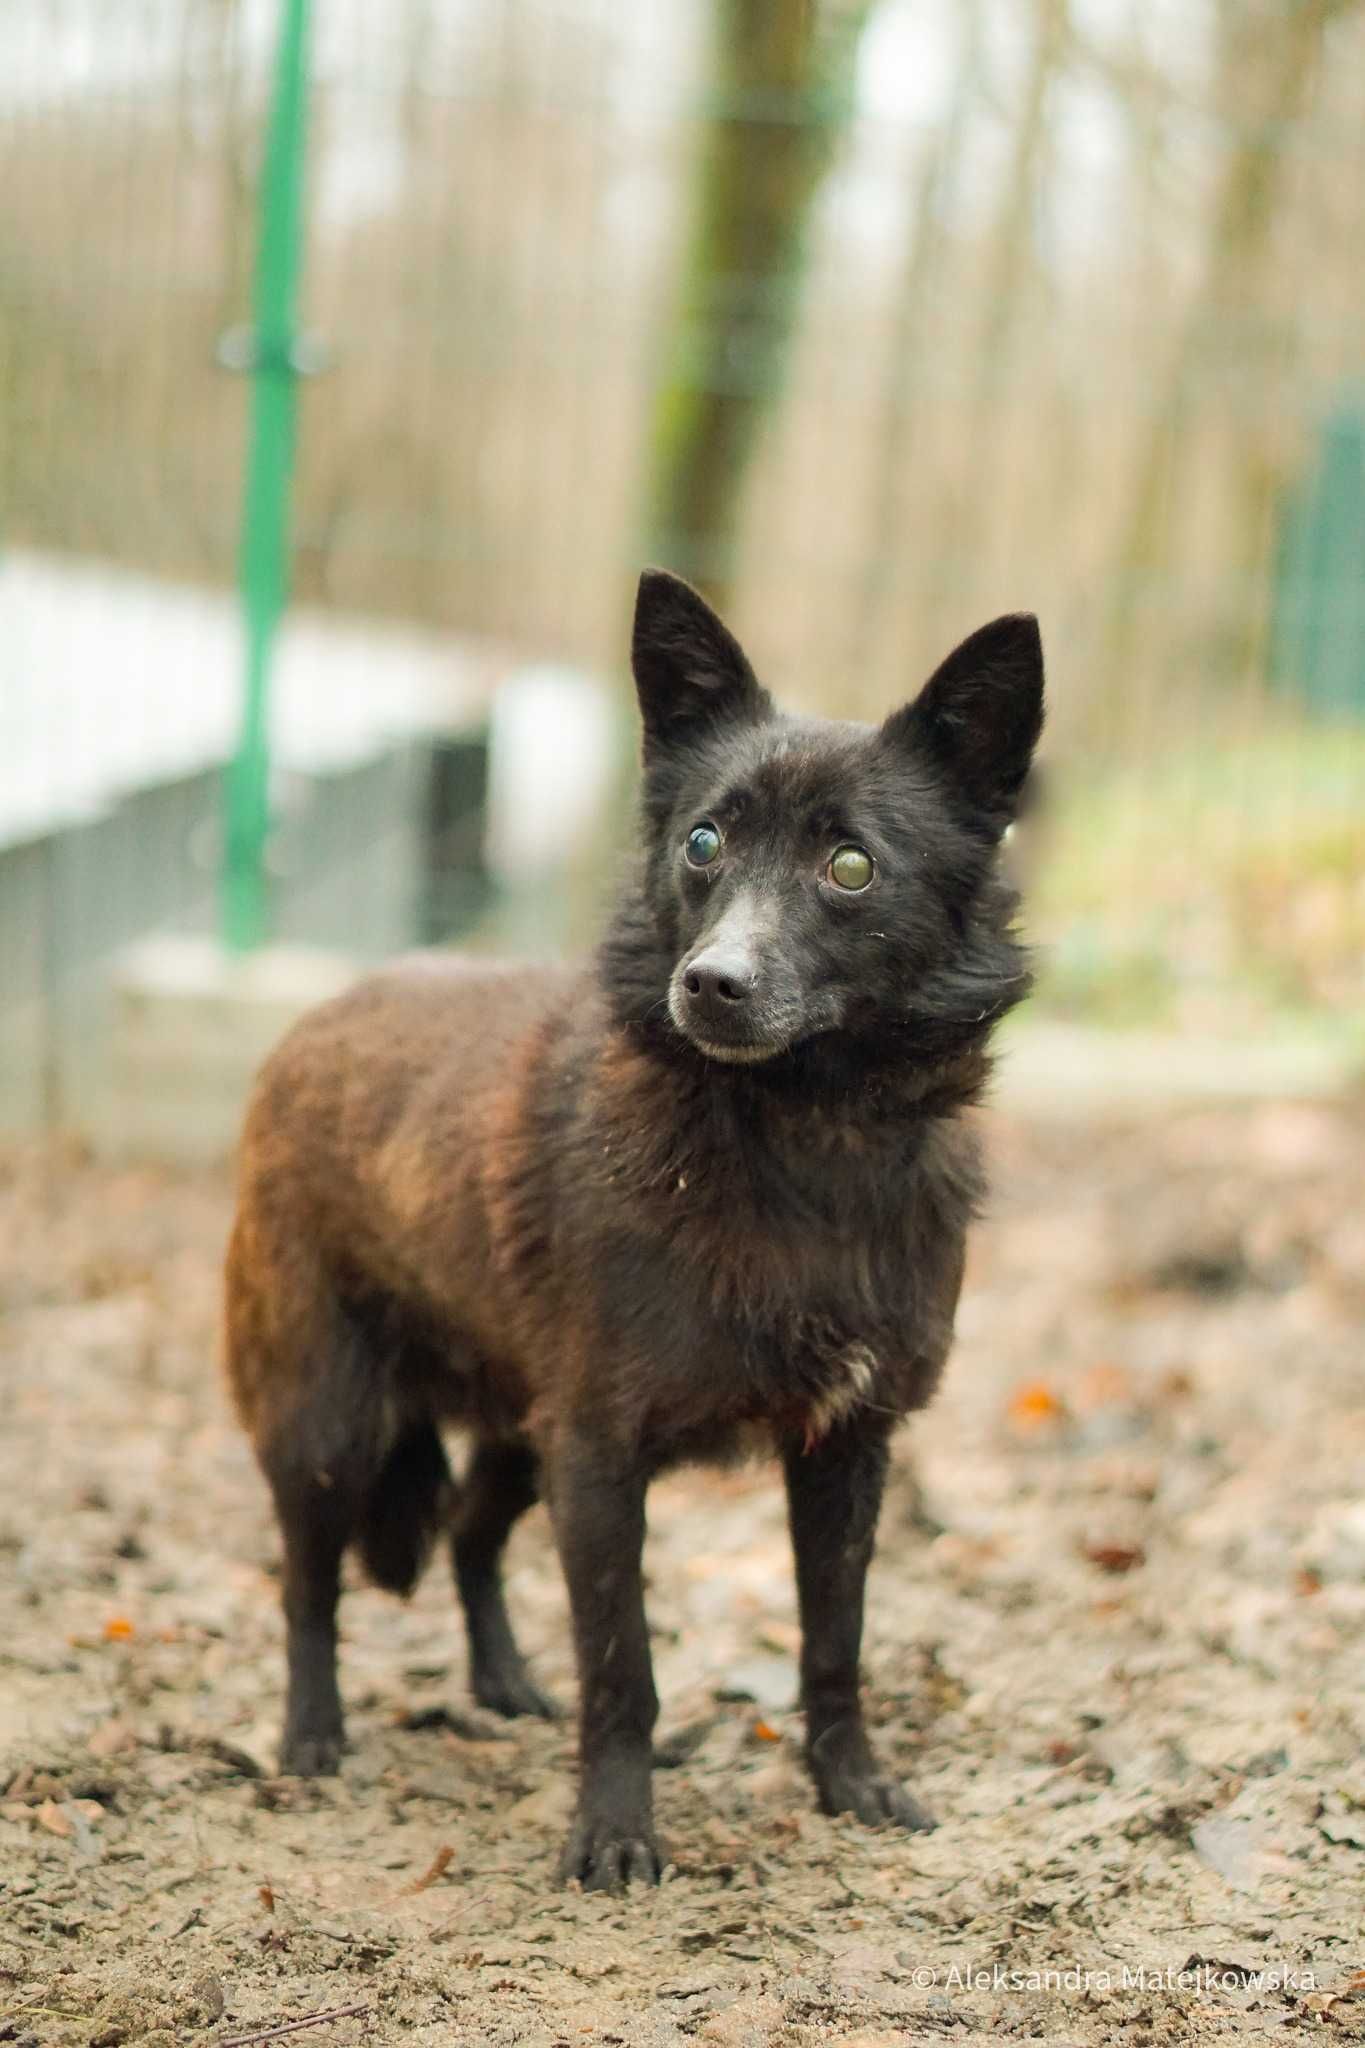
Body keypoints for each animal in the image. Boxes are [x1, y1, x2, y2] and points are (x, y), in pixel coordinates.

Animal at [227, 565, 1047, 1884]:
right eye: (704, 842)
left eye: (852, 866)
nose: (711, 983)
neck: (801, 1147)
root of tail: (314, 1018)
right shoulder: (605, 1452)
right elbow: (624, 1664)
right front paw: (614, 1831)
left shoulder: (844, 1445)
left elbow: (835, 1640)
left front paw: (850, 1784)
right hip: (329, 1418)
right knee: (310, 1581)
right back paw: (313, 1735)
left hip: (521, 1426)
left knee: (471, 1534)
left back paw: (505, 1683)